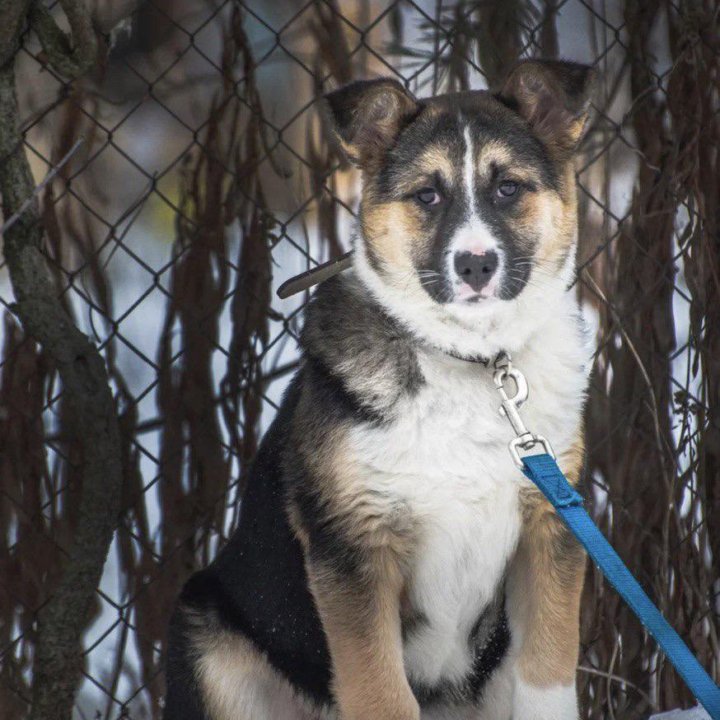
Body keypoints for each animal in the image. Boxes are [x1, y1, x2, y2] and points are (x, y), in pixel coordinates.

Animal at [165, 59, 596, 716]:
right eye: (427, 195)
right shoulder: (353, 546)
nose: (475, 265)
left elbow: (547, 675)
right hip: (205, 632)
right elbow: (380, 693)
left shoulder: (549, 528)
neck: (471, 362)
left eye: (507, 188)